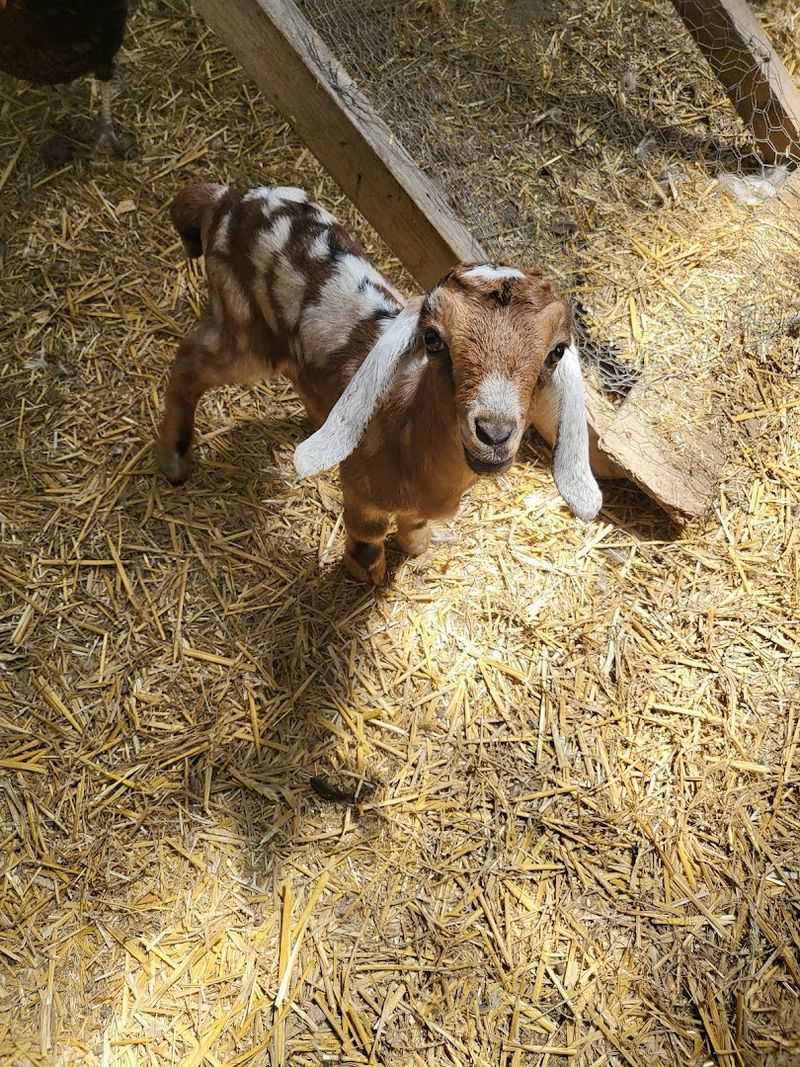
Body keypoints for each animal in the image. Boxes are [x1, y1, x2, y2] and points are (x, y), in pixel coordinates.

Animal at [157, 182, 602, 584]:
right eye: (433, 338)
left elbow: (415, 524)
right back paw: (175, 460)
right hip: (244, 329)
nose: (493, 432)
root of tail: (225, 198)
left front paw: (418, 546)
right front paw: (367, 570)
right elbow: (367, 529)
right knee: (189, 360)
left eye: (556, 351)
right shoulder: (361, 491)